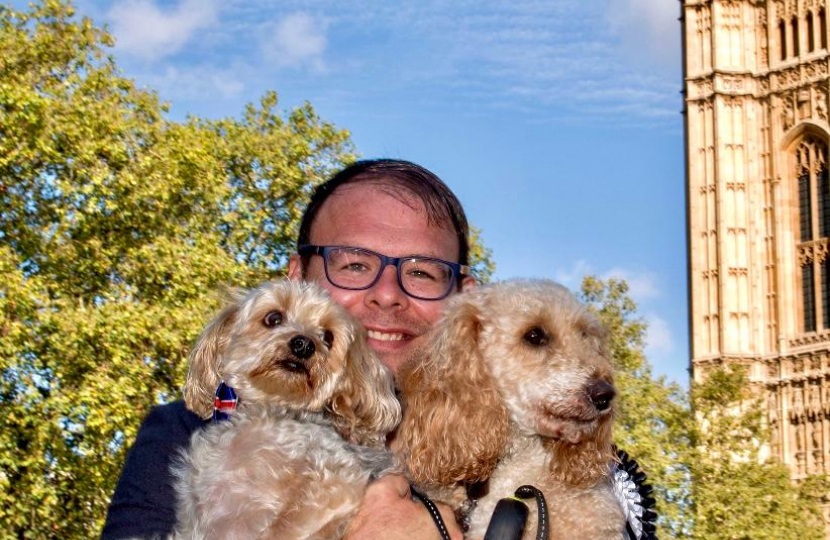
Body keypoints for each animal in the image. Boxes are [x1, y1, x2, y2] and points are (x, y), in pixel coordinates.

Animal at [174, 280, 402, 540]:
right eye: (273, 318)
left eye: (328, 337)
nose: (304, 344)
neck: (270, 407)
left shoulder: (337, 483)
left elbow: (279, 529)